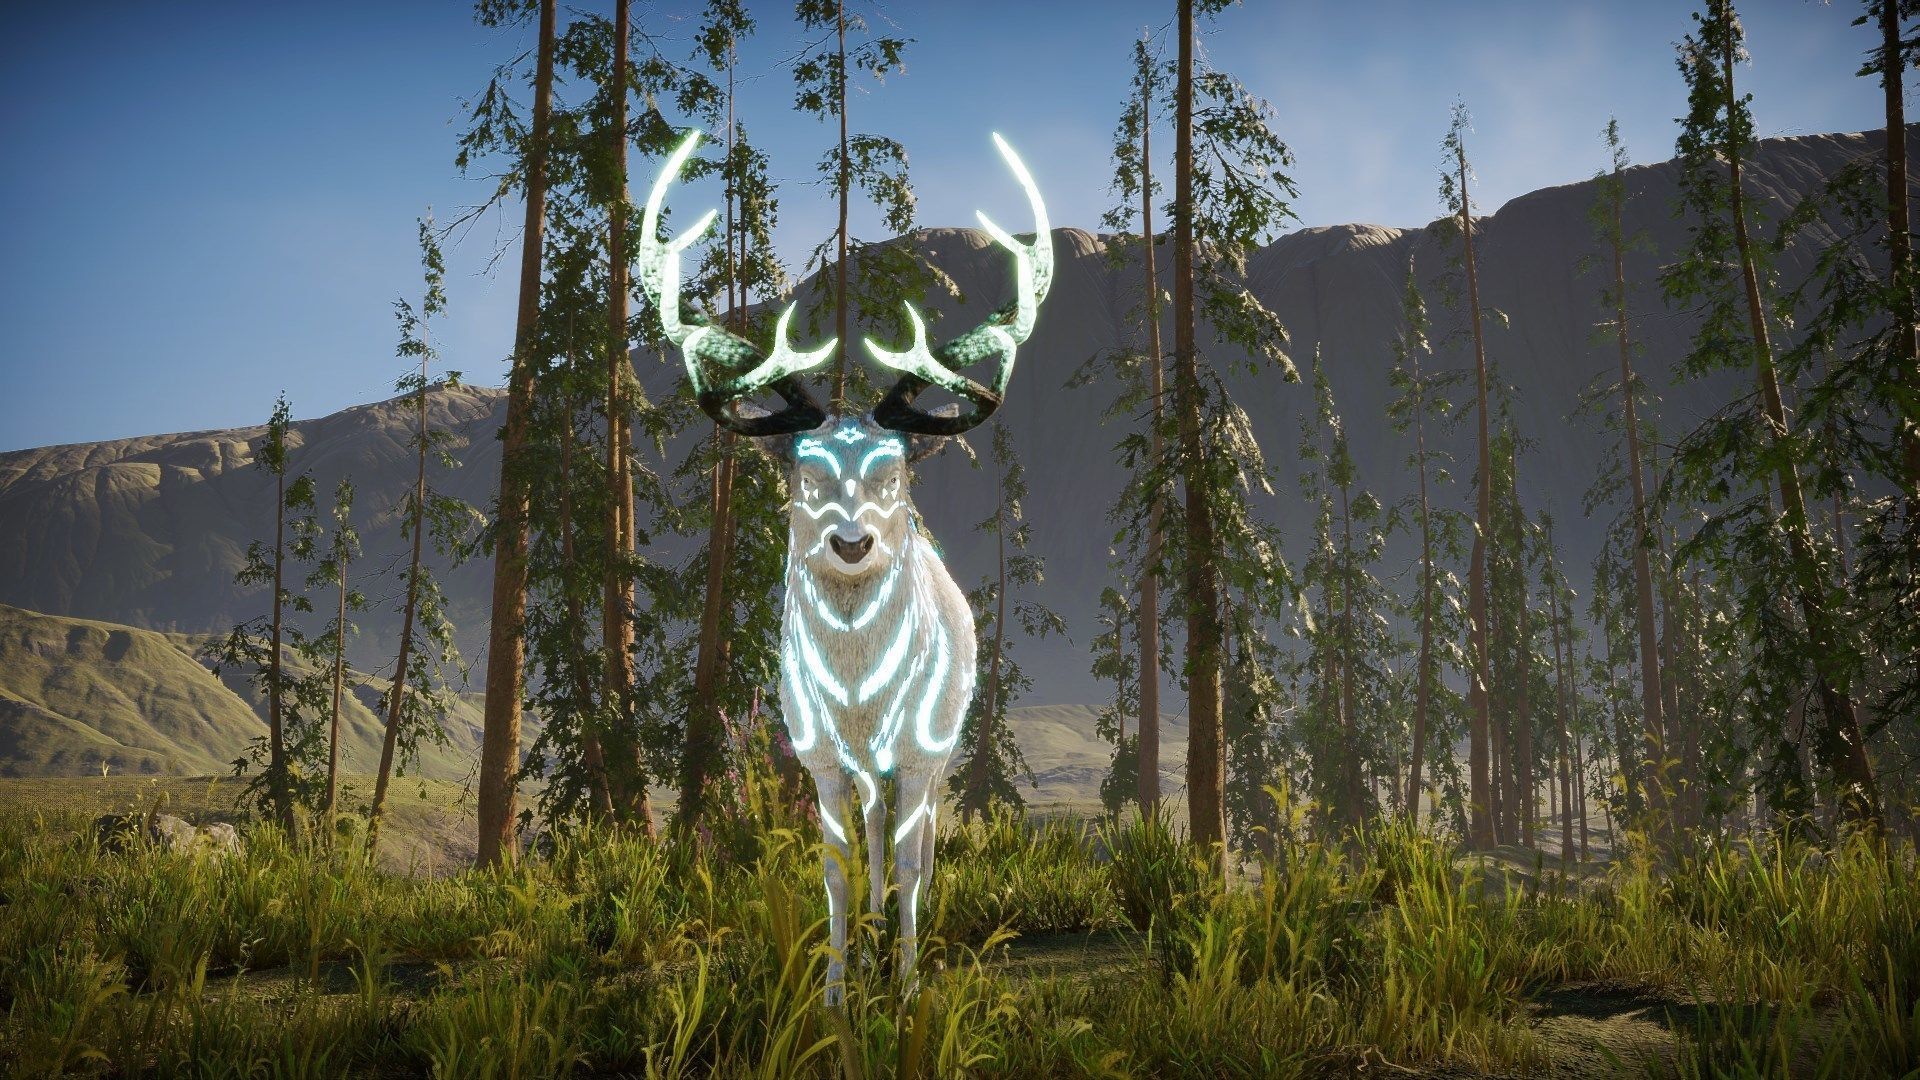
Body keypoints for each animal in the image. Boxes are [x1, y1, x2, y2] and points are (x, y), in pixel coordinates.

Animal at [637, 129, 1051, 1001]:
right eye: (805, 469)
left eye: (896, 470)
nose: (853, 543)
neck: (861, 693)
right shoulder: (818, 755)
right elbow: (832, 865)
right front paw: (834, 990)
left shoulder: (924, 753)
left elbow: (913, 858)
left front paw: (908, 986)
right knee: (870, 827)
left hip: (940, 747)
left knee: (912, 839)